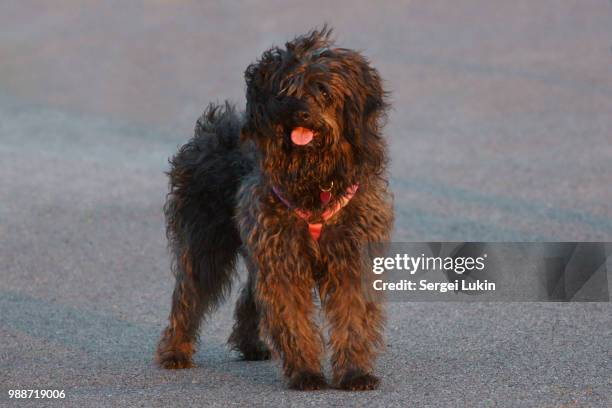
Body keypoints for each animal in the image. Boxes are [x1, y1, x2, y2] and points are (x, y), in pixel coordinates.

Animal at [155, 27, 394, 390]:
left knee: (249, 293)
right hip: (204, 241)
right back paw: (175, 350)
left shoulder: (351, 258)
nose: (301, 113)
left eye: (323, 91)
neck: (315, 181)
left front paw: (355, 373)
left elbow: (353, 315)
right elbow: (291, 316)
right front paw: (307, 373)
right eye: (286, 91)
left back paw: (250, 344)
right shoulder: (282, 256)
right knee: (190, 294)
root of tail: (211, 128)